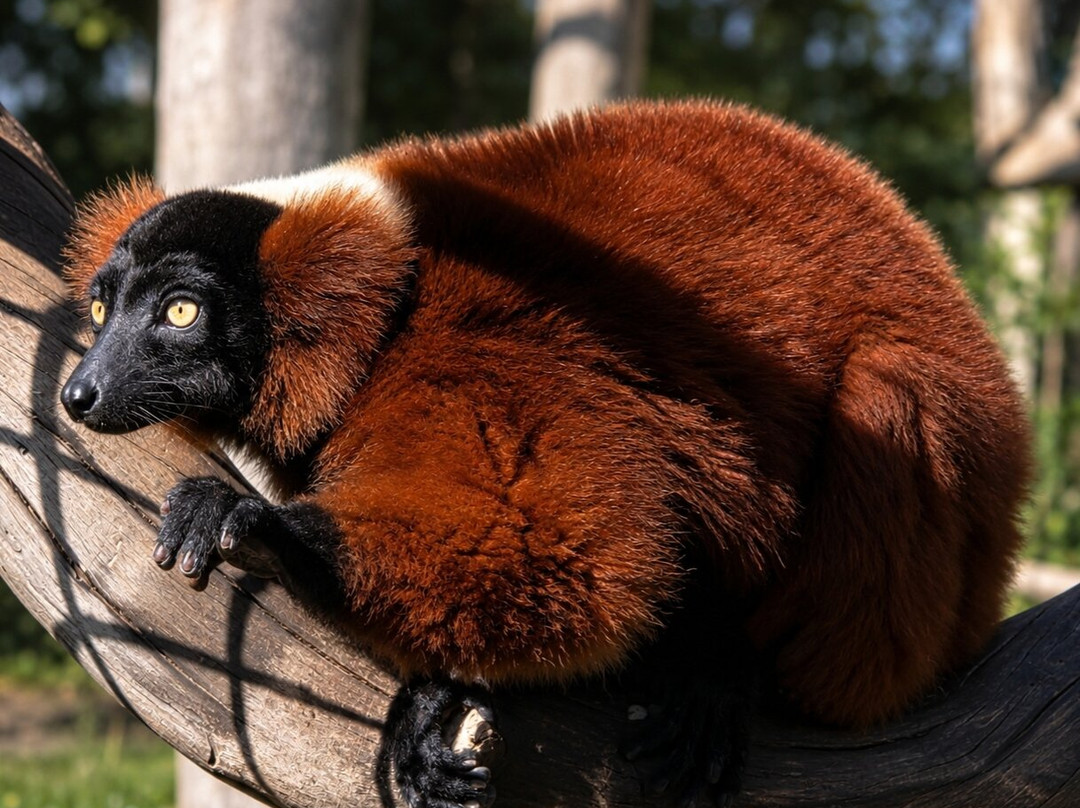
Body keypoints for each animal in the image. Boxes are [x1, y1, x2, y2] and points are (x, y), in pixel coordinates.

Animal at [60, 100, 1030, 807]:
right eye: (103, 309)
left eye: (180, 312)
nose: (79, 394)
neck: (384, 311)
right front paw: (433, 692)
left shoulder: (476, 361)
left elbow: (577, 552)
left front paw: (253, 519)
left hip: (927, 576)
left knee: (888, 398)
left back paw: (721, 668)